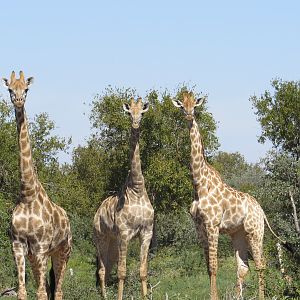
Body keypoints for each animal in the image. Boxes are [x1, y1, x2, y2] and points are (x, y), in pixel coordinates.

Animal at [2, 71, 72, 298]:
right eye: (9, 89)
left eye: (26, 89)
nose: (18, 100)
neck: (27, 193)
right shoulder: (18, 246)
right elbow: (23, 291)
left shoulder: (41, 247)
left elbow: (40, 293)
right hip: (36, 256)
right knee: (50, 289)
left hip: (63, 251)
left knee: (58, 291)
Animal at [94, 97, 155, 298]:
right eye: (129, 113)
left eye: (142, 112)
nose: (135, 124)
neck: (137, 188)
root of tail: (97, 212)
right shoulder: (124, 233)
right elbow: (122, 272)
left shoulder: (146, 232)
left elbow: (143, 271)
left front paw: (145, 296)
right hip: (101, 238)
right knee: (102, 270)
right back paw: (104, 297)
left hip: (112, 242)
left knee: (106, 268)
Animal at [172, 91, 282, 300]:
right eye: (182, 106)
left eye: (195, 105)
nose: (189, 116)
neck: (199, 185)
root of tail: (261, 210)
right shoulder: (200, 227)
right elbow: (209, 268)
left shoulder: (213, 225)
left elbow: (215, 267)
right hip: (237, 233)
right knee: (243, 266)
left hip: (255, 231)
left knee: (261, 263)